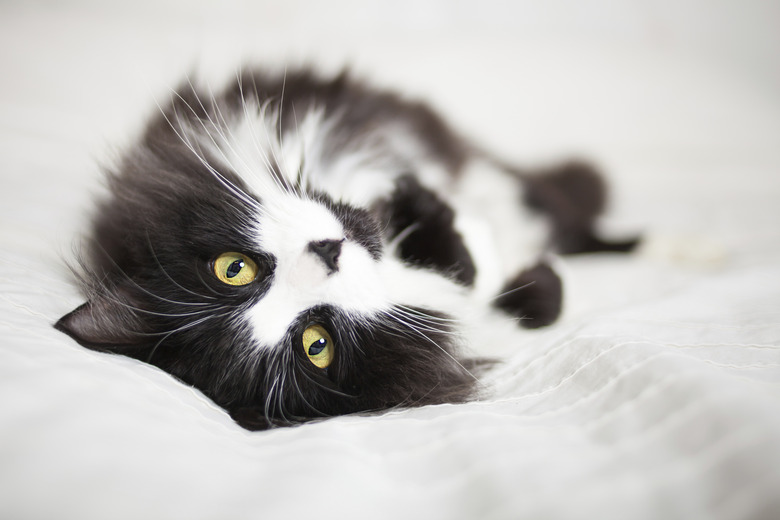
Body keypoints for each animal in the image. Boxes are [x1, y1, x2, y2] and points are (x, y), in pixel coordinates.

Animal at [56, 67, 640, 428]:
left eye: (233, 269)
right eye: (317, 345)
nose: (327, 253)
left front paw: (415, 198)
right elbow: (487, 276)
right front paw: (443, 226)